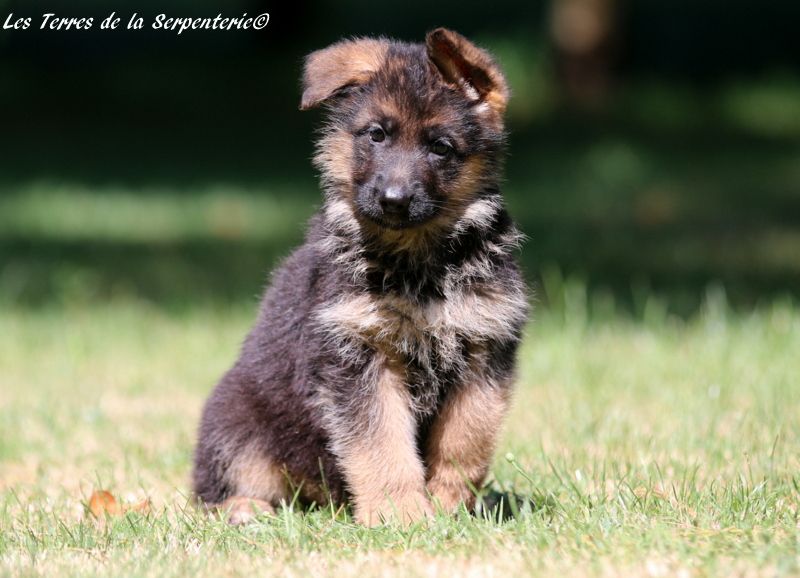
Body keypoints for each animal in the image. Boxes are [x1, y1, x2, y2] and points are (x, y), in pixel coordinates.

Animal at [193, 27, 528, 524]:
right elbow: (381, 446)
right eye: (376, 135)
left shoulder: (483, 351)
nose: (393, 200)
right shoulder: (357, 358)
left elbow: (465, 441)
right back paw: (243, 507)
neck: (416, 264)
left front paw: (448, 506)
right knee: (216, 489)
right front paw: (400, 515)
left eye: (441, 146)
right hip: (236, 421)